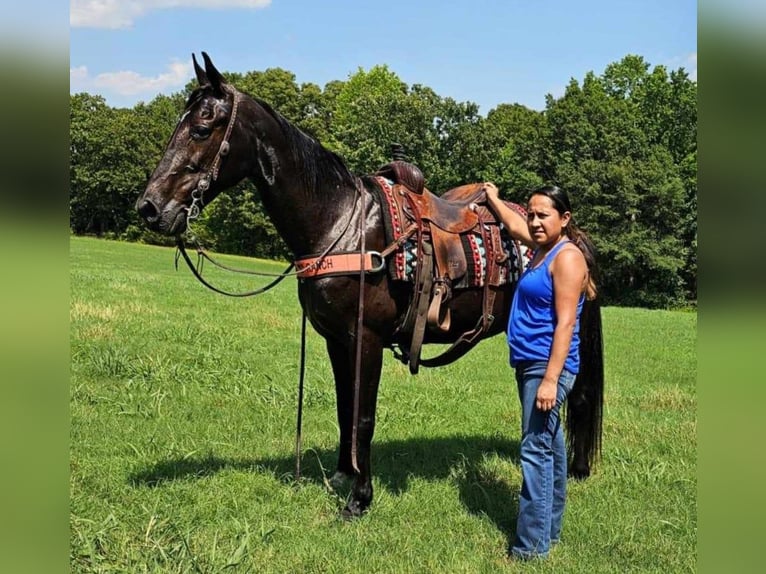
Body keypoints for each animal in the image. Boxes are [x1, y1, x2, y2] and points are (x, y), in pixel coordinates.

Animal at [138, 53, 608, 520]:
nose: (149, 207)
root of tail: (574, 235)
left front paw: (359, 498)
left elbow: (363, 416)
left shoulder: (366, 338)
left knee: (580, 396)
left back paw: (579, 471)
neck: (340, 224)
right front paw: (343, 475)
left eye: (202, 128)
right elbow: (345, 408)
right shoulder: (336, 339)